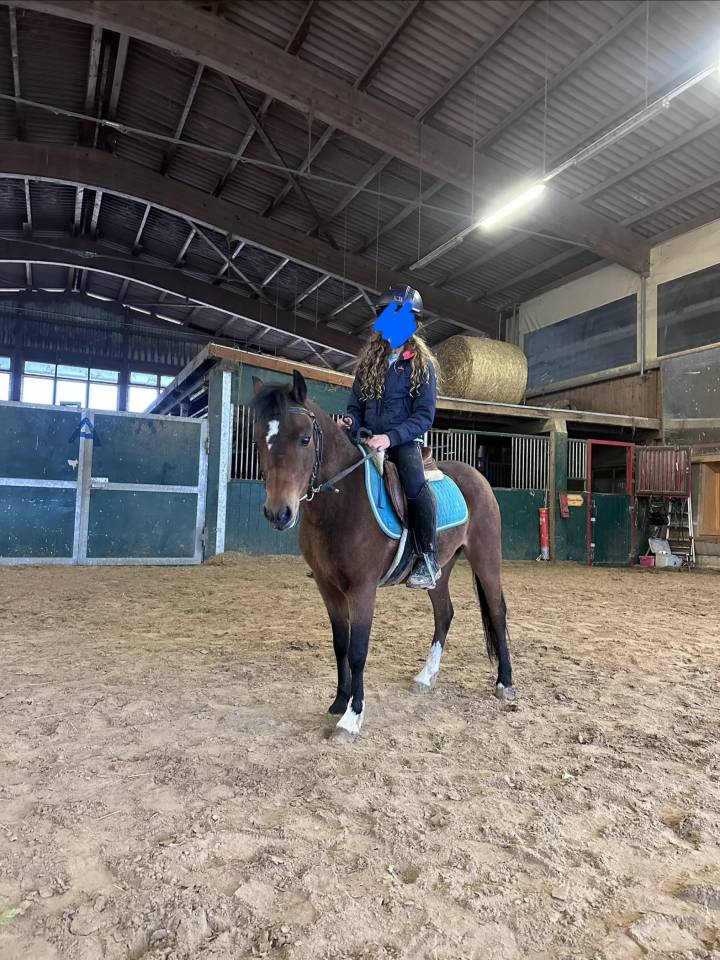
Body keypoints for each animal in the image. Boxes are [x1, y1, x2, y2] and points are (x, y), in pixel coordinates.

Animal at [252, 370, 516, 739]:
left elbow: (358, 651)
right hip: (439, 570)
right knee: (444, 613)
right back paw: (426, 678)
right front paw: (339, 702)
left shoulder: (362, 589)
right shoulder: (328, 587)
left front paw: (352, 717)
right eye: (259, 440)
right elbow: (340, 644)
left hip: (486, 557)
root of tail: (476, 476)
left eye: (304, 439)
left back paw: (505, 683)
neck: (342, 503)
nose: (279, 514)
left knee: (497, 612)